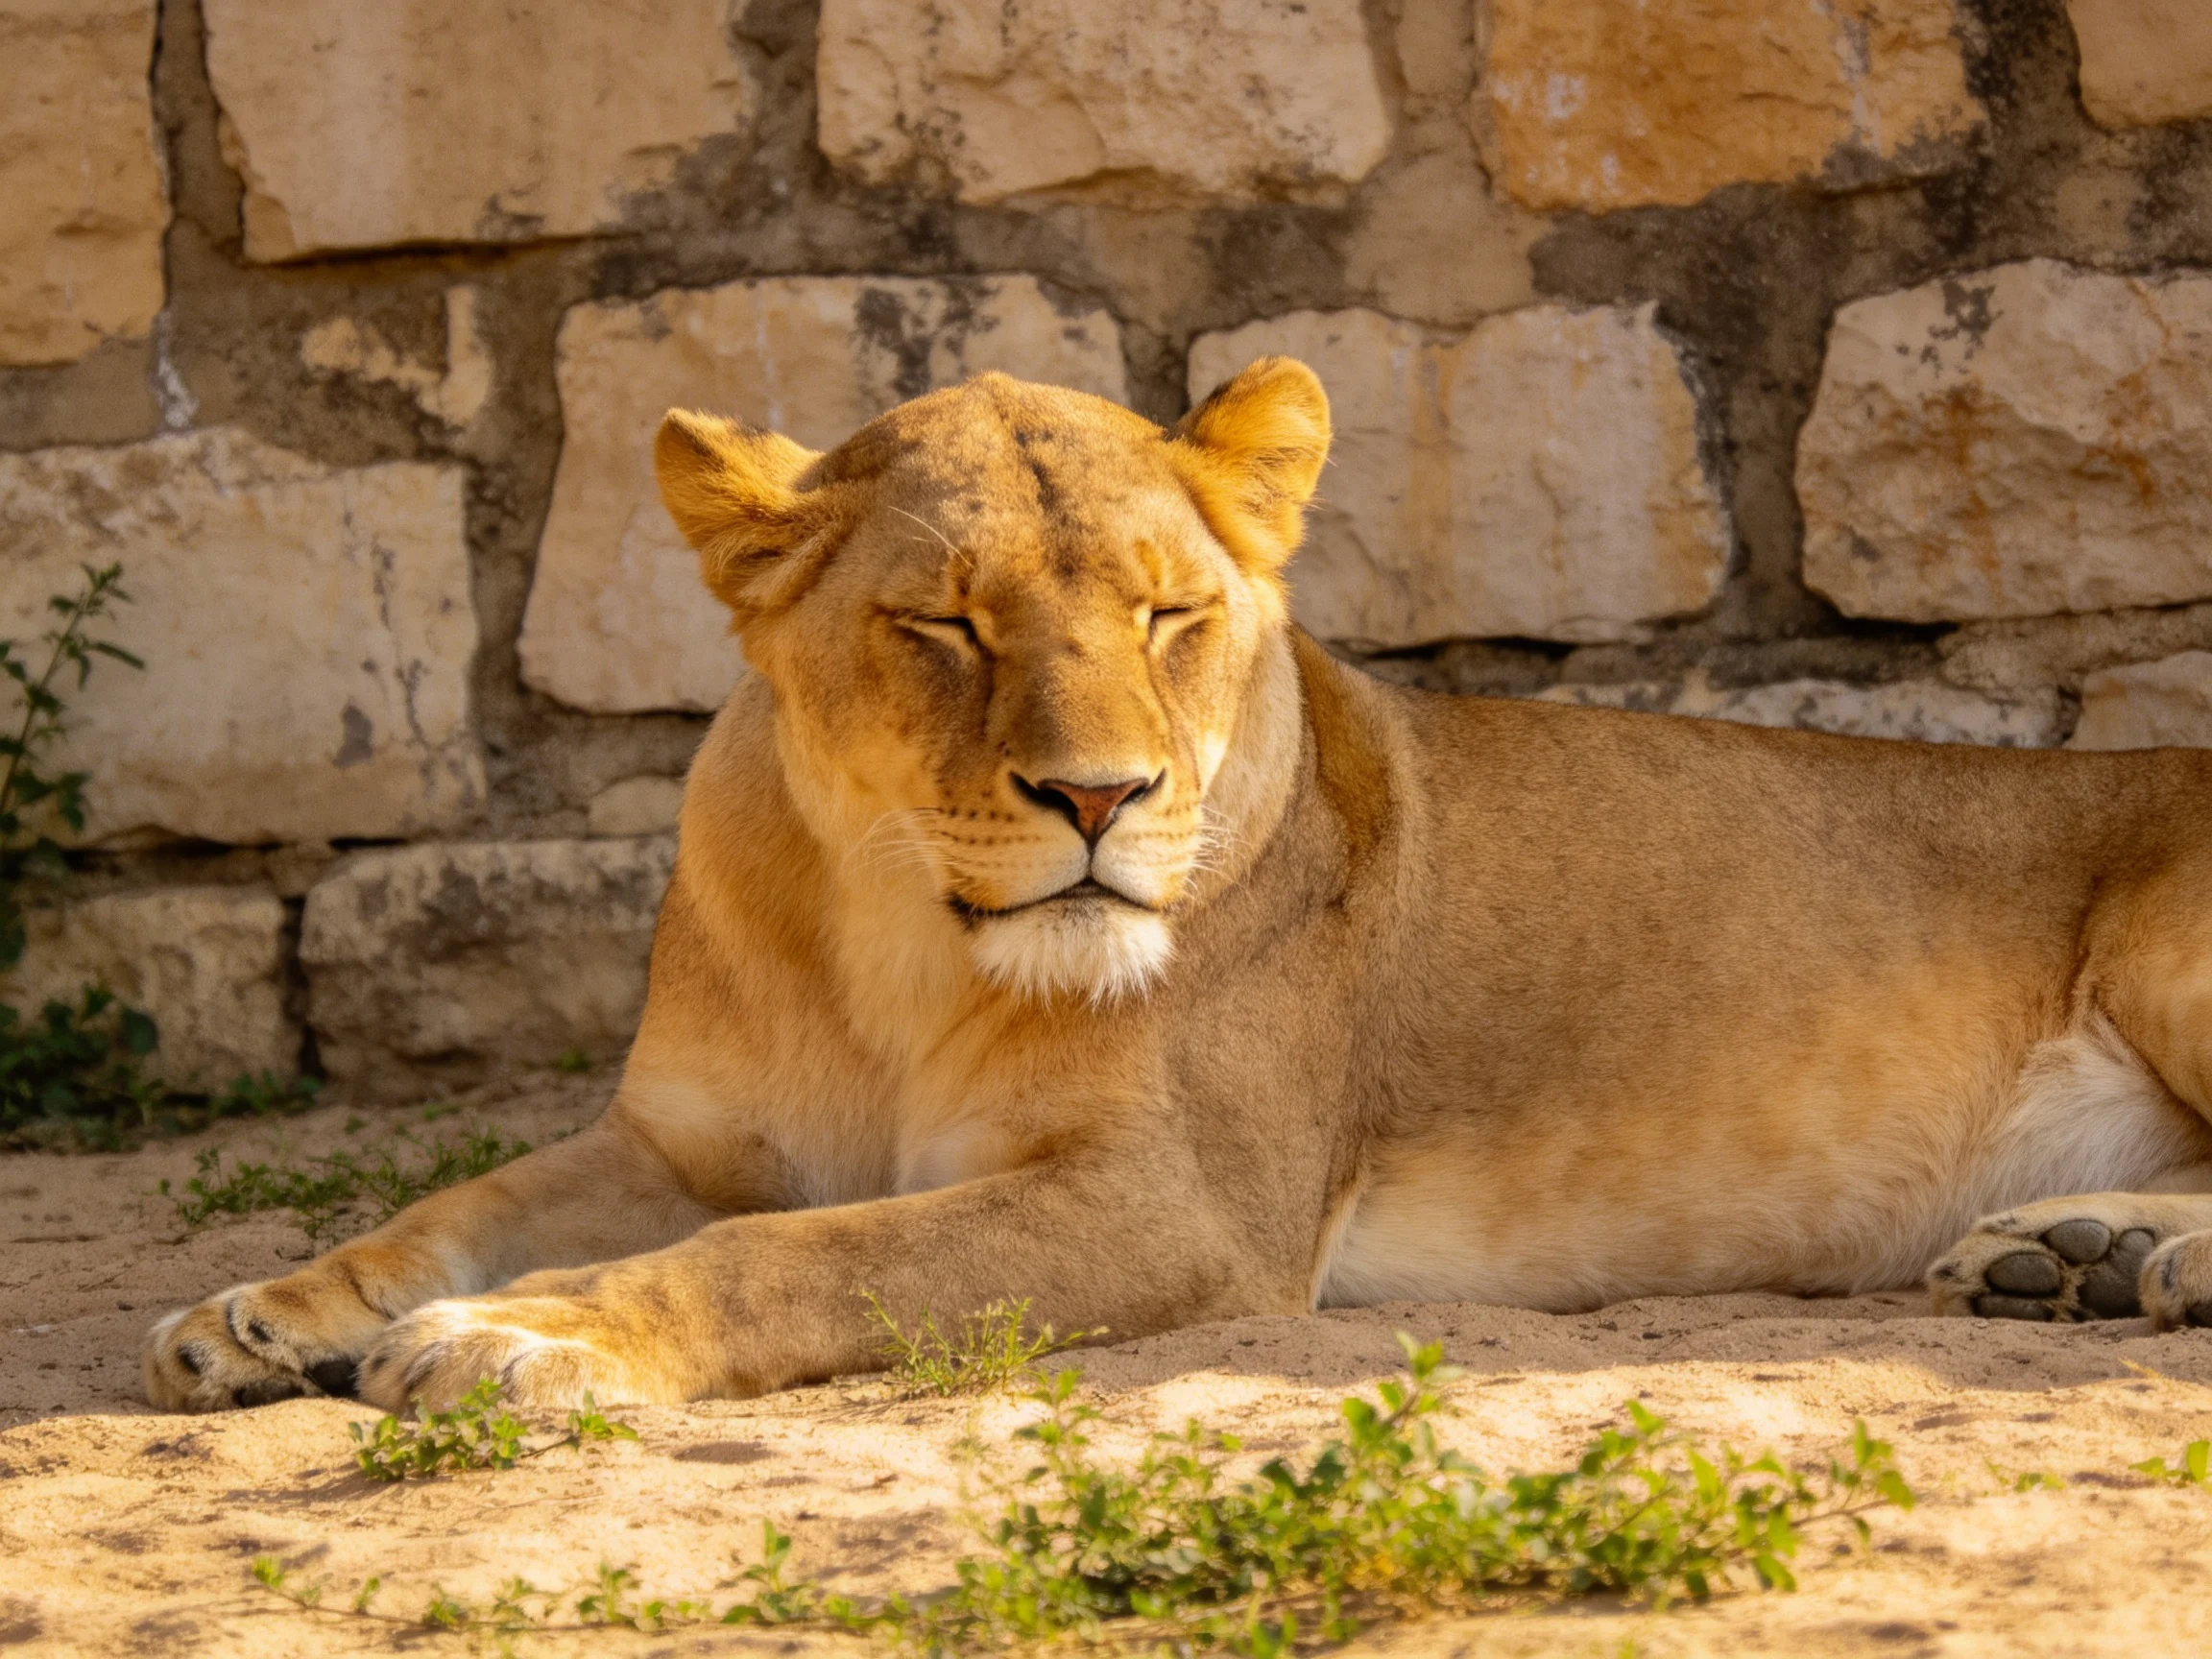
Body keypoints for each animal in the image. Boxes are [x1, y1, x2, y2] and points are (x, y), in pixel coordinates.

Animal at [143, 359, 2212, 1414]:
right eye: (944, 623)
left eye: (1163, 613)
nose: (1098, 794)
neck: (890, 944)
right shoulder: (683, 1135)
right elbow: (454, 1202)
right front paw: (263, 1314)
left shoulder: (1174, 1207)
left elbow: (800, 1256)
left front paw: (532, 1335)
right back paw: (2064, 1253)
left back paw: (2124, 1259)